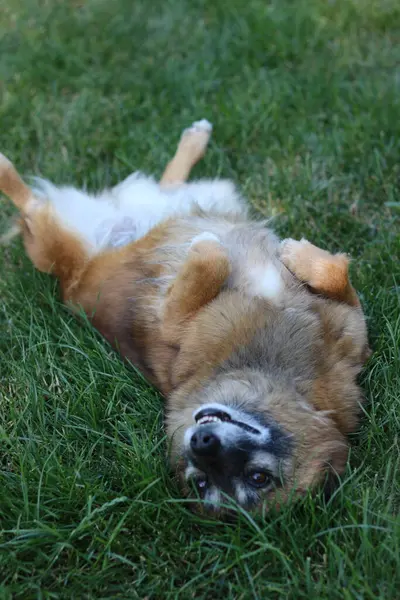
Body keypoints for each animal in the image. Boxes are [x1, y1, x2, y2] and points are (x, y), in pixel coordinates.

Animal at [0, 122, 370, 516]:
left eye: (257, 478)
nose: (202, 443)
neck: (273, 370)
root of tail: (71, 280)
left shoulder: (174, 320)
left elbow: (211, 263)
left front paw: (209, 247)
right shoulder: (351, 332)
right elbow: (339, 275)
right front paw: (293, 254)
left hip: (60, 238)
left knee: (34, 203)